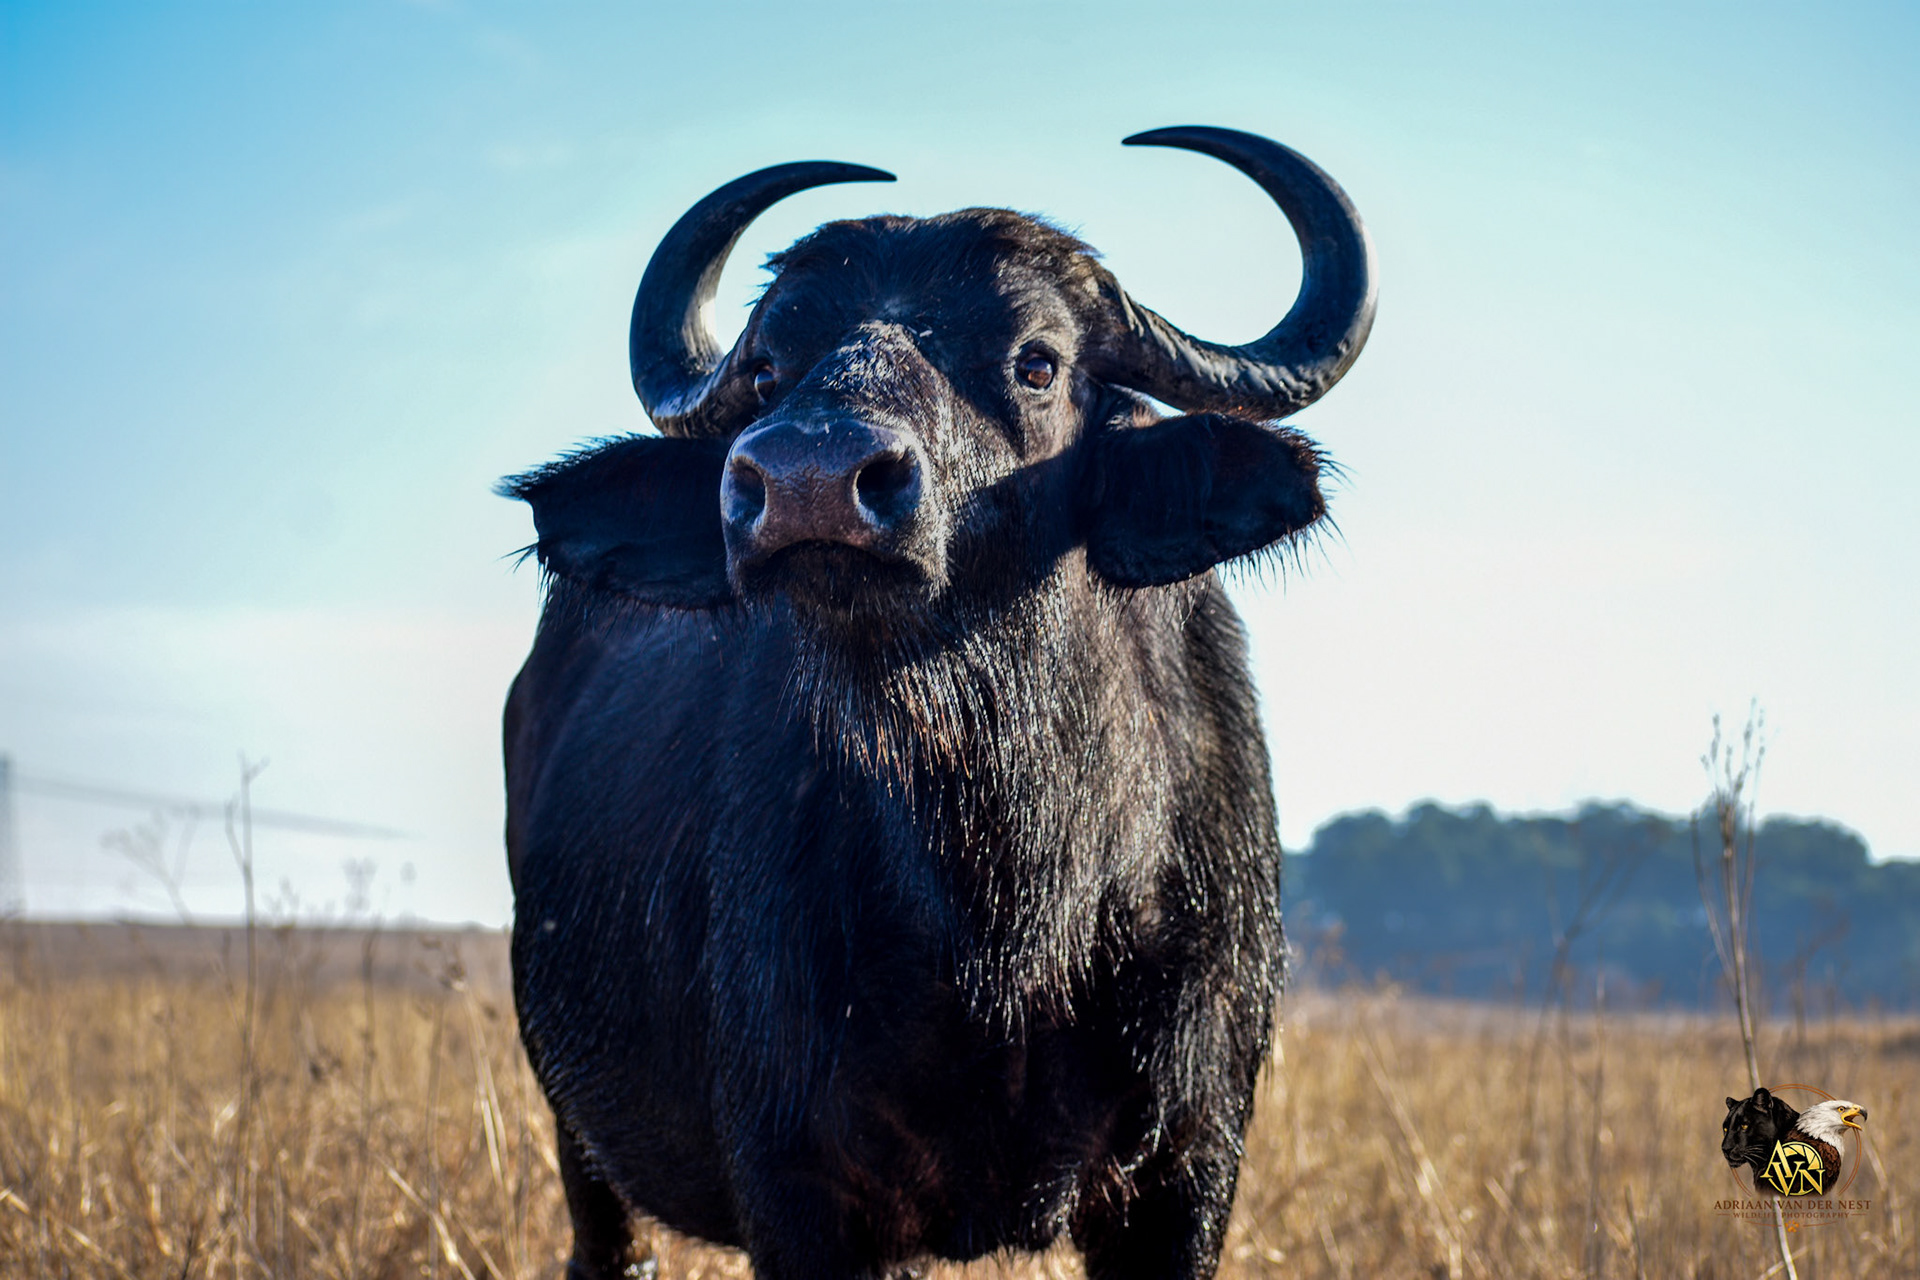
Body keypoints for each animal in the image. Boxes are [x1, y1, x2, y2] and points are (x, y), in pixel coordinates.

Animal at [501, 125, 1375, 1280]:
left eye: (1037, 361)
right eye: (770, 368)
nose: (808, 479)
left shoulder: (1192, 1166)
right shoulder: (794, 1183)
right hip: (581, 1133)